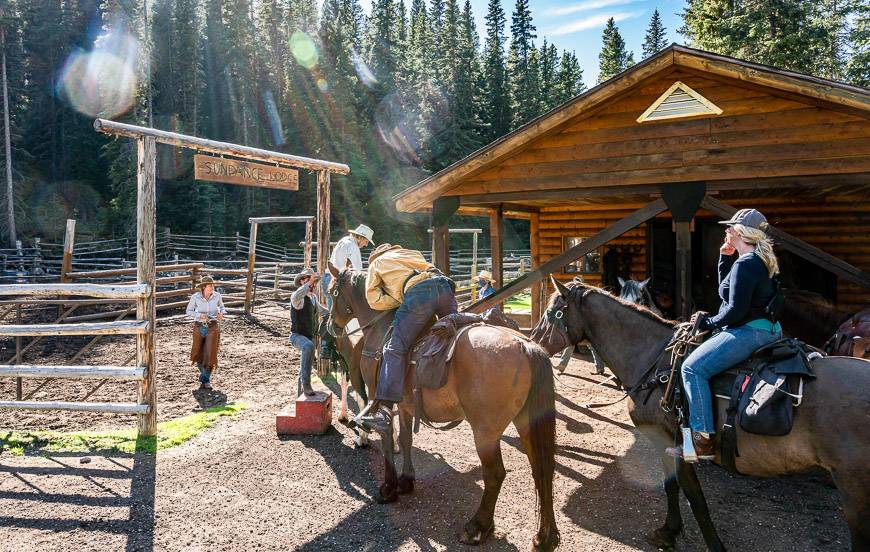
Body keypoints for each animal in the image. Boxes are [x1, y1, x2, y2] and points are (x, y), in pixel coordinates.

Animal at [330, 266, 564, 548]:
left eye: (332, 292)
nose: (331, 326)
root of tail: (525, 345)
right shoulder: (405, 405)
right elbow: (406, 439)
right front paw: (406, 481)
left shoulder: (380, 397)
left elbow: (387, 439)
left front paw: (388, 488)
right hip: (527, 422)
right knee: (542, 471)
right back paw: (544, 537)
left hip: (485, 431)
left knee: (495, 473)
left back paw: (477, 527)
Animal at [528, 280, 870, 552]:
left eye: (551, 313)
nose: (534, 343)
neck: (654, 360)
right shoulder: (665, 443)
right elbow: (673, 487)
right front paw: (669, 531)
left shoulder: (674, 441)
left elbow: (694, 496)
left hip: (855, 490)